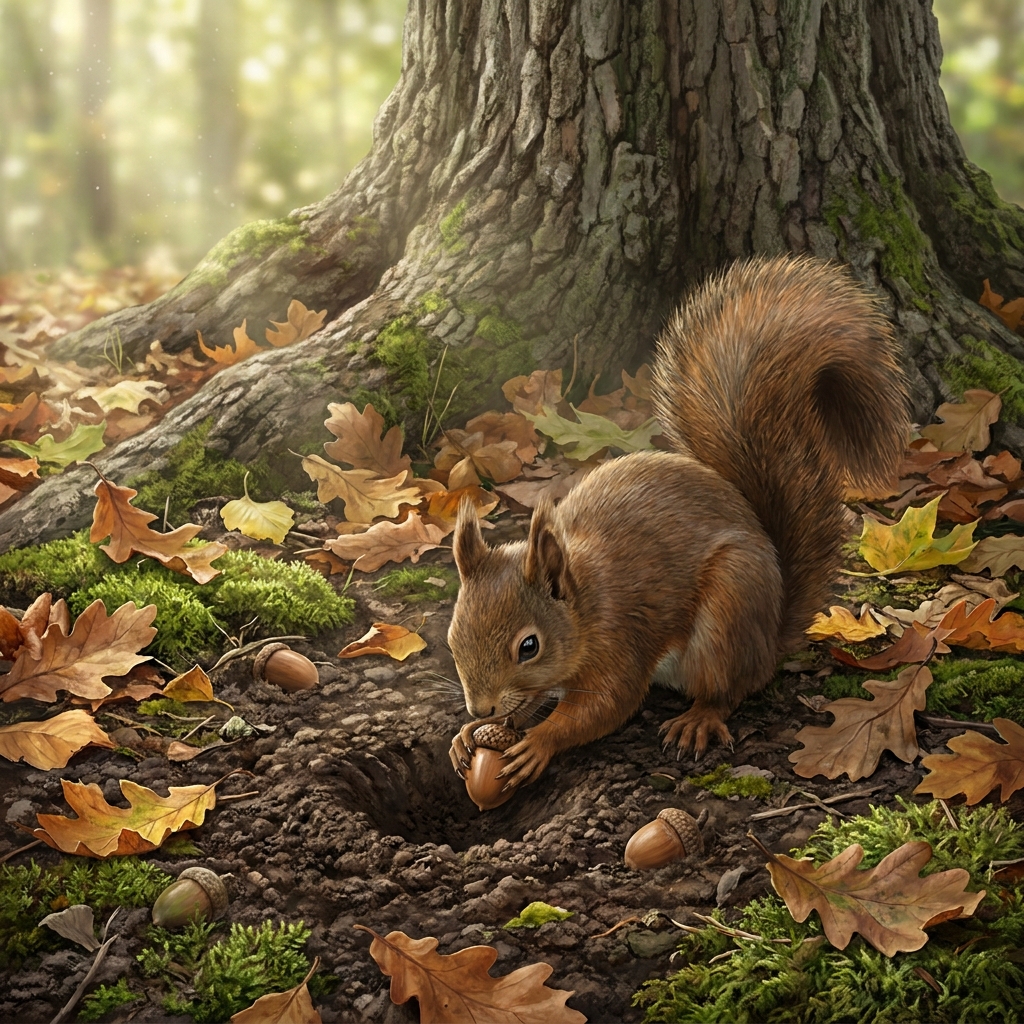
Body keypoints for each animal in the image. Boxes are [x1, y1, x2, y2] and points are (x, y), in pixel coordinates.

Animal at [446, 255, 910, 790]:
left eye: (529, 647)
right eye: (452, 638)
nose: (480, 707)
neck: (585, 603)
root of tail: (770, 638)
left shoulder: (621, 639)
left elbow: (608, 705)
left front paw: (537, 742)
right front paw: (470, 734)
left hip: (729, 610)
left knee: (728, 689)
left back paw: (699, 719)